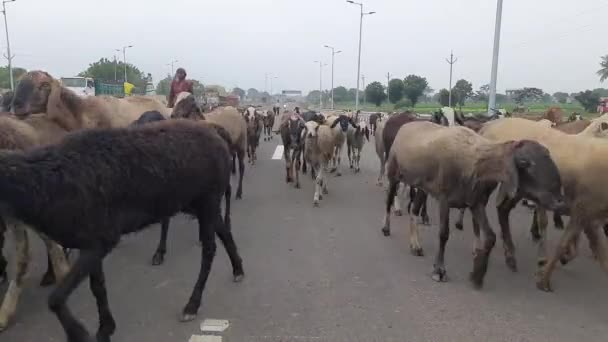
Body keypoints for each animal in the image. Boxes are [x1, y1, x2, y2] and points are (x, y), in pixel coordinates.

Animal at [0, 119, 246, 340]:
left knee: (209, 250)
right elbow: (97, 286)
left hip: (208, 200)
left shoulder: (102, 239)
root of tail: (219, 137)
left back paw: (192, 305)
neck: (46, 185)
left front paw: (79, 333)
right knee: (224, 231)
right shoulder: (90, 244)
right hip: (195, 204)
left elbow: (56, 298)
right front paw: (105, 328)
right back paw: (238, 270)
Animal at [380, 120, 564, 288]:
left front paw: (477, 274)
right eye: (527, 163)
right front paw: (439, 270)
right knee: (388, 201)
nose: (559, 201)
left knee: (414, 210)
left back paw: (415, 245)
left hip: (422, 187)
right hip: (394, 174)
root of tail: (408, 124)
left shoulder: (476, 203)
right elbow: (444, 234)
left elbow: (490, 236)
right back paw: (386, 228)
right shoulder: (445, 199)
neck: (476, 162)